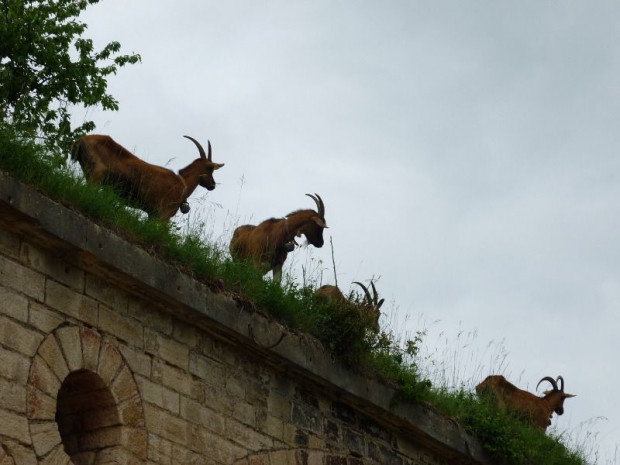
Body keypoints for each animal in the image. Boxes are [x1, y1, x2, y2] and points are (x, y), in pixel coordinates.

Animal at [69, 134, 224, 221]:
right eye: (210, 168)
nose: (212, 185)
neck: (183, 184)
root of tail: (81, 140)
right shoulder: (163, 214)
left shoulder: (152, 214)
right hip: (96, 174)